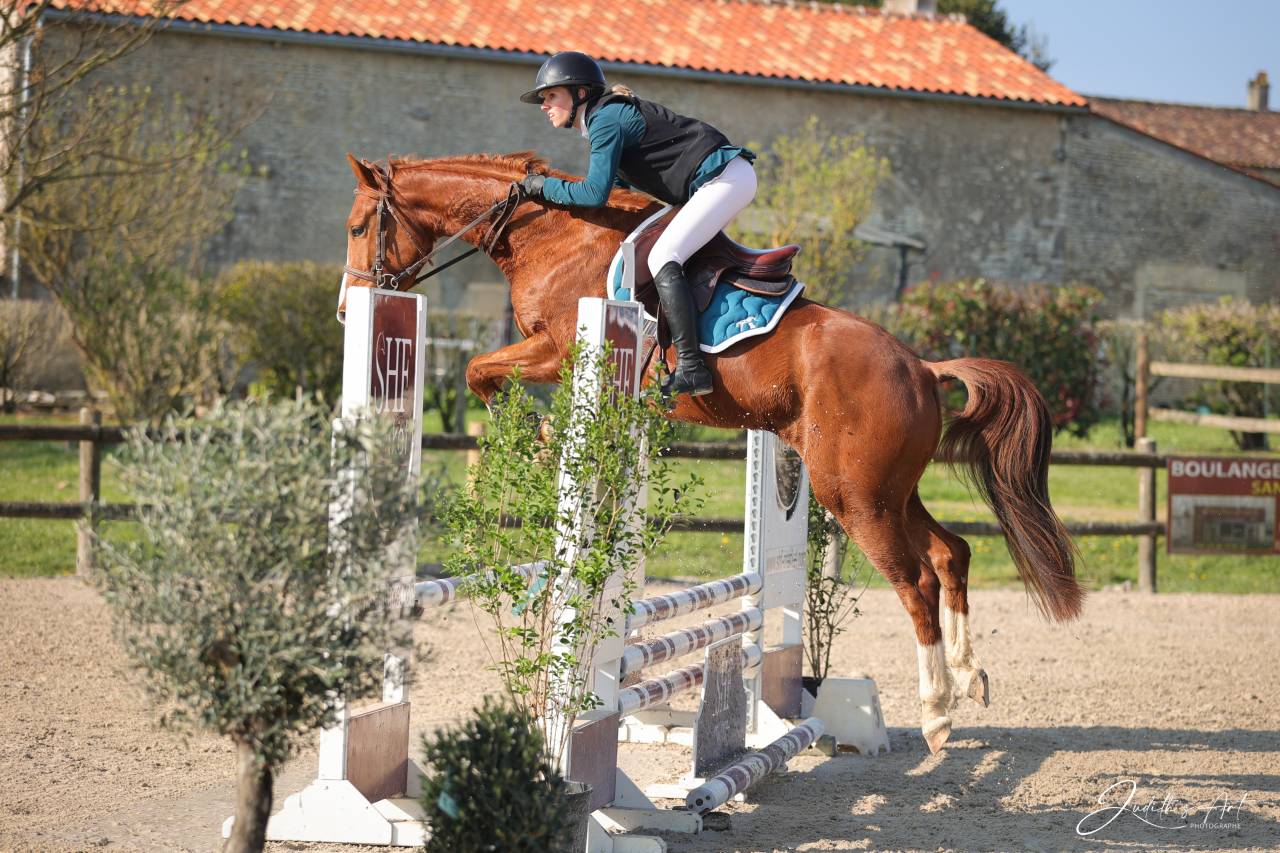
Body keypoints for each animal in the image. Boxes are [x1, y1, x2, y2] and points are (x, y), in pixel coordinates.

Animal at [336, 152, 1084, 753]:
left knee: (917, 580)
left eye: (358, 226)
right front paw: (542, 441)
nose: (349, 310)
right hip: (887, 489)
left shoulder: (555, 347)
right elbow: (484, 374)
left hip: (855, 495)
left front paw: (540, 441)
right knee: (951, 553)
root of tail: (923, 366)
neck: (548, 234)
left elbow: (479, 373)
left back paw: (936, 713)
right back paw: (970, 676)